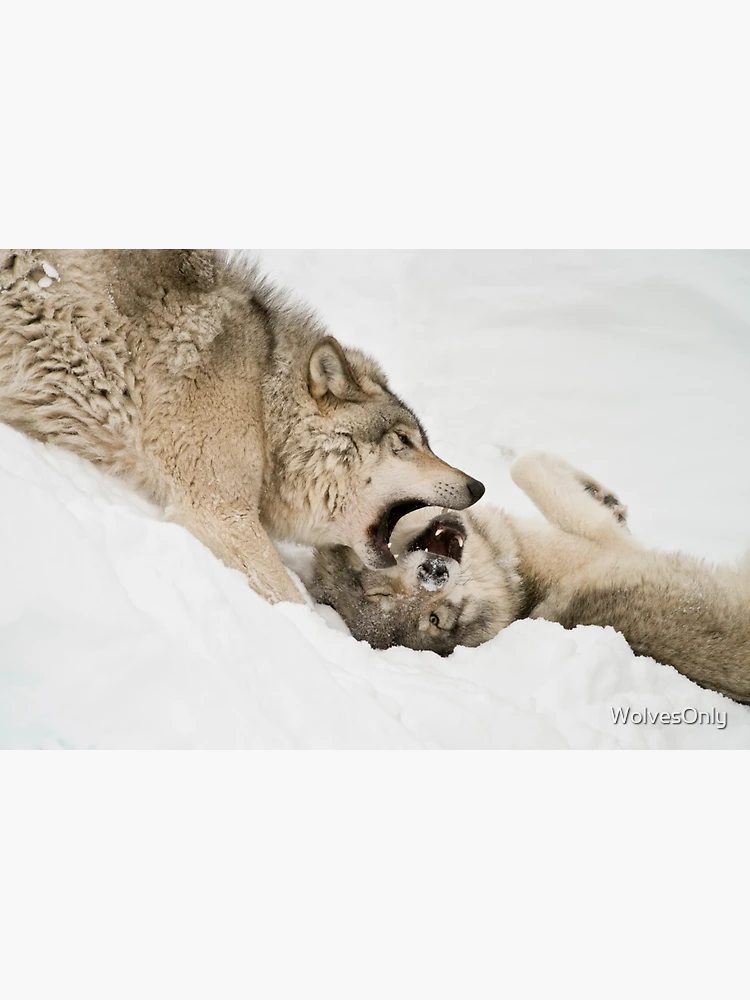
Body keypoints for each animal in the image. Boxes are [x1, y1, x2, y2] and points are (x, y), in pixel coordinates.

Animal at [0, 250, 484, 604]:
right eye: (403, 441)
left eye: (424, 442)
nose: (478, 487)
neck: (265, 404)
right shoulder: (220, 513)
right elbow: (291, 599)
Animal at [310, 452, 750, 703]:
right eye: (435, 620)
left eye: (379, 587)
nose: (433, 573)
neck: (518, 578)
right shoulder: (604, 539)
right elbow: (528, 465)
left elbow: (523, 466)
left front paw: (607, 498)